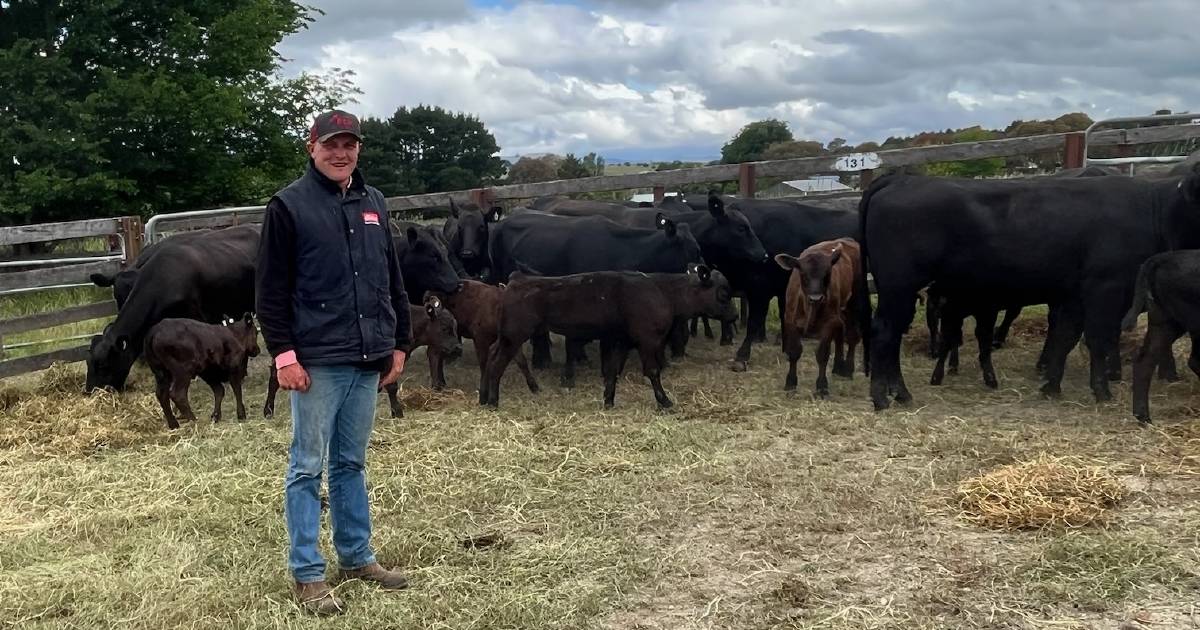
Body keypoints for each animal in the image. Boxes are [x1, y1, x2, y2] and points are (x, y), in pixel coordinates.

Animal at [482, 264, 734, 408]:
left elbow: (613, 370)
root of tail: (517, 279)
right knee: (496, 364)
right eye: (723, 293)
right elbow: (653, 371)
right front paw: (664, 401)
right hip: (514, 335)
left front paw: (609, 400)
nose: (735, 314)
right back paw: (493, 402)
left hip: (507, 336)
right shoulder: (647, 340)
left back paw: (484, 397)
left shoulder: (622, 340)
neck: (662, 290)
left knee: (490, 357)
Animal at [777, 238, 864, 396]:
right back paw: (838, 367)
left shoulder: (828, 323)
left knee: (852, 335)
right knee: (840, 331)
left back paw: (848, 369)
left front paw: (822, 386)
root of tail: (848, 240)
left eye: (827, 274)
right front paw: (790, 383)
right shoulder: (790, 320)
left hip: (854, 301)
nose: (816, 298)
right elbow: (794, 351)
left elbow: (822, 354)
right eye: (803, 274)